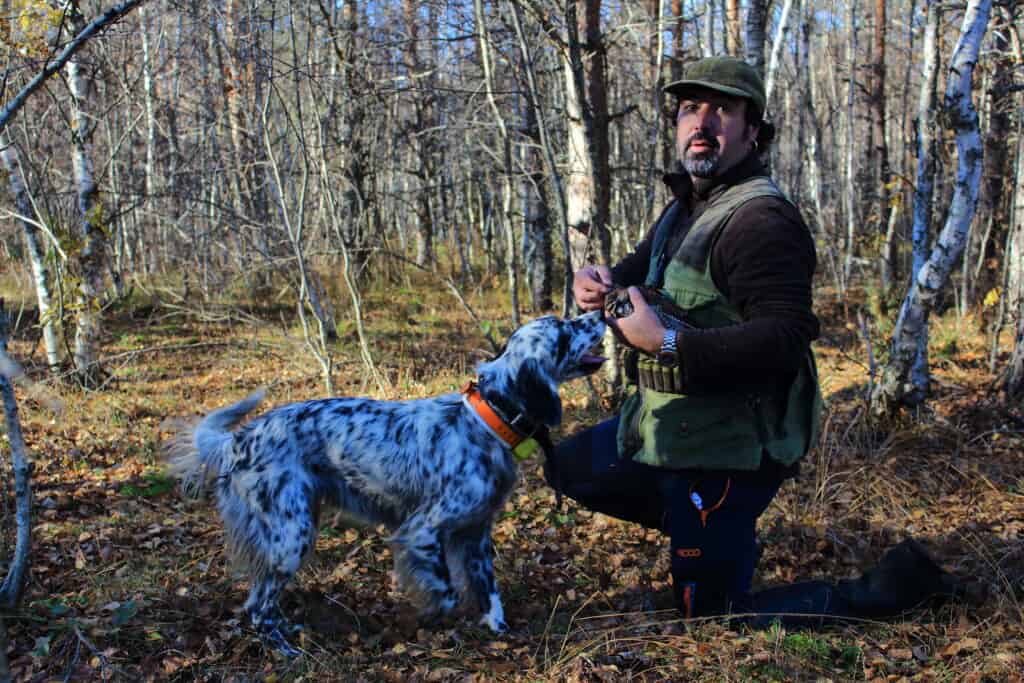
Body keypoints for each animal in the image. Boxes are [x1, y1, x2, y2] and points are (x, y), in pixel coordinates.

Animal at [165, 311, 598, 655]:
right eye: (564, 330)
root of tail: (240, 439)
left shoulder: (476, 532)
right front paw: (432, 619)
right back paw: (286, 650)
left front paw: (500, 630)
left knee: (260, 600)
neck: (487, 420)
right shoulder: (422, 529)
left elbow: (489, 591)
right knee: (256, 608)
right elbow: (446, 592)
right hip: (291, 537)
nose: (600, 313)